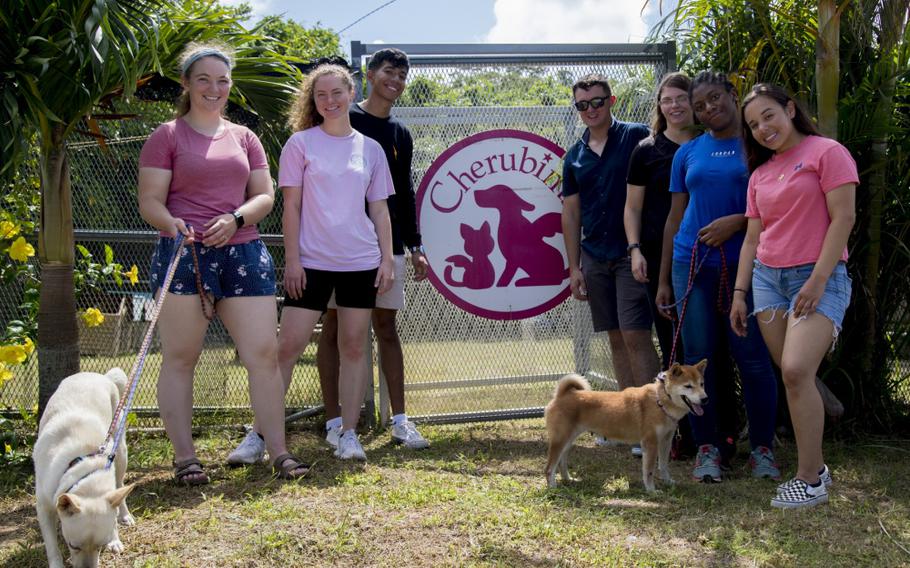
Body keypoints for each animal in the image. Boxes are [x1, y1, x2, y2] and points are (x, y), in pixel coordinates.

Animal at [33, 368, 136, 568]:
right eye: (73, 546)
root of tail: (101, 375)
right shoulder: (44, 507)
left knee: (120, 486)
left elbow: (112, 518)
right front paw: (57, 564)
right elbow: (51, 546)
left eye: (101, 546)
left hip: (120, 452)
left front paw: (114, 539)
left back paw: (125, 515)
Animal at [544, 364, 708, 492]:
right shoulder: (650, 443)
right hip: (560, 440)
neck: (660, 402)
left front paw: (668, 482)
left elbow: (663, 466)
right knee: (550, 468)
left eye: (702, 384)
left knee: (561, 463)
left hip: (568, 441)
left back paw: (568, 479)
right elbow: (649, 471)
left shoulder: (665, 442)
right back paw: (553, 487)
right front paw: (652, 491)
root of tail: (562, 395)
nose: (705, 399)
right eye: (688, 386)